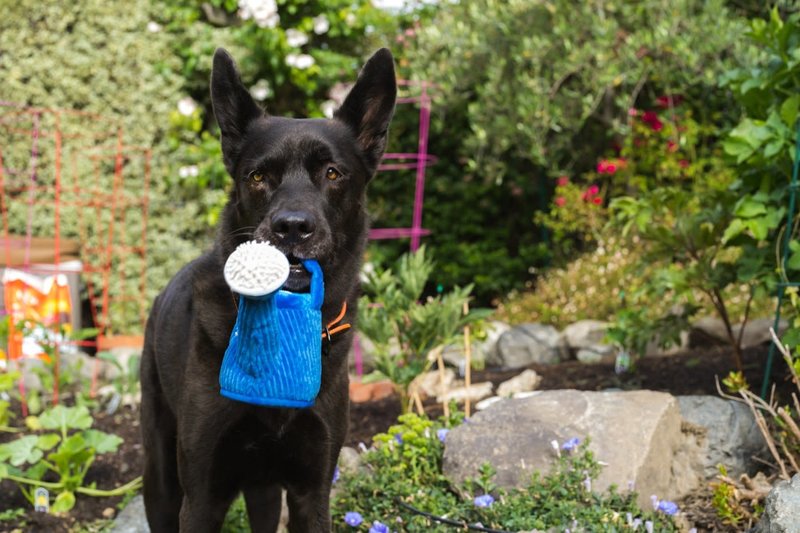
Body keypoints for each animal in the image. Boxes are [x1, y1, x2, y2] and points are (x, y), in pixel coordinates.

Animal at [142, 47, 398, 528]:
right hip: (160, 474)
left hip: (262, 488)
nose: (292, 228)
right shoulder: (201, 498)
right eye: (258, 177)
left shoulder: (311, 491)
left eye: (332, 173)